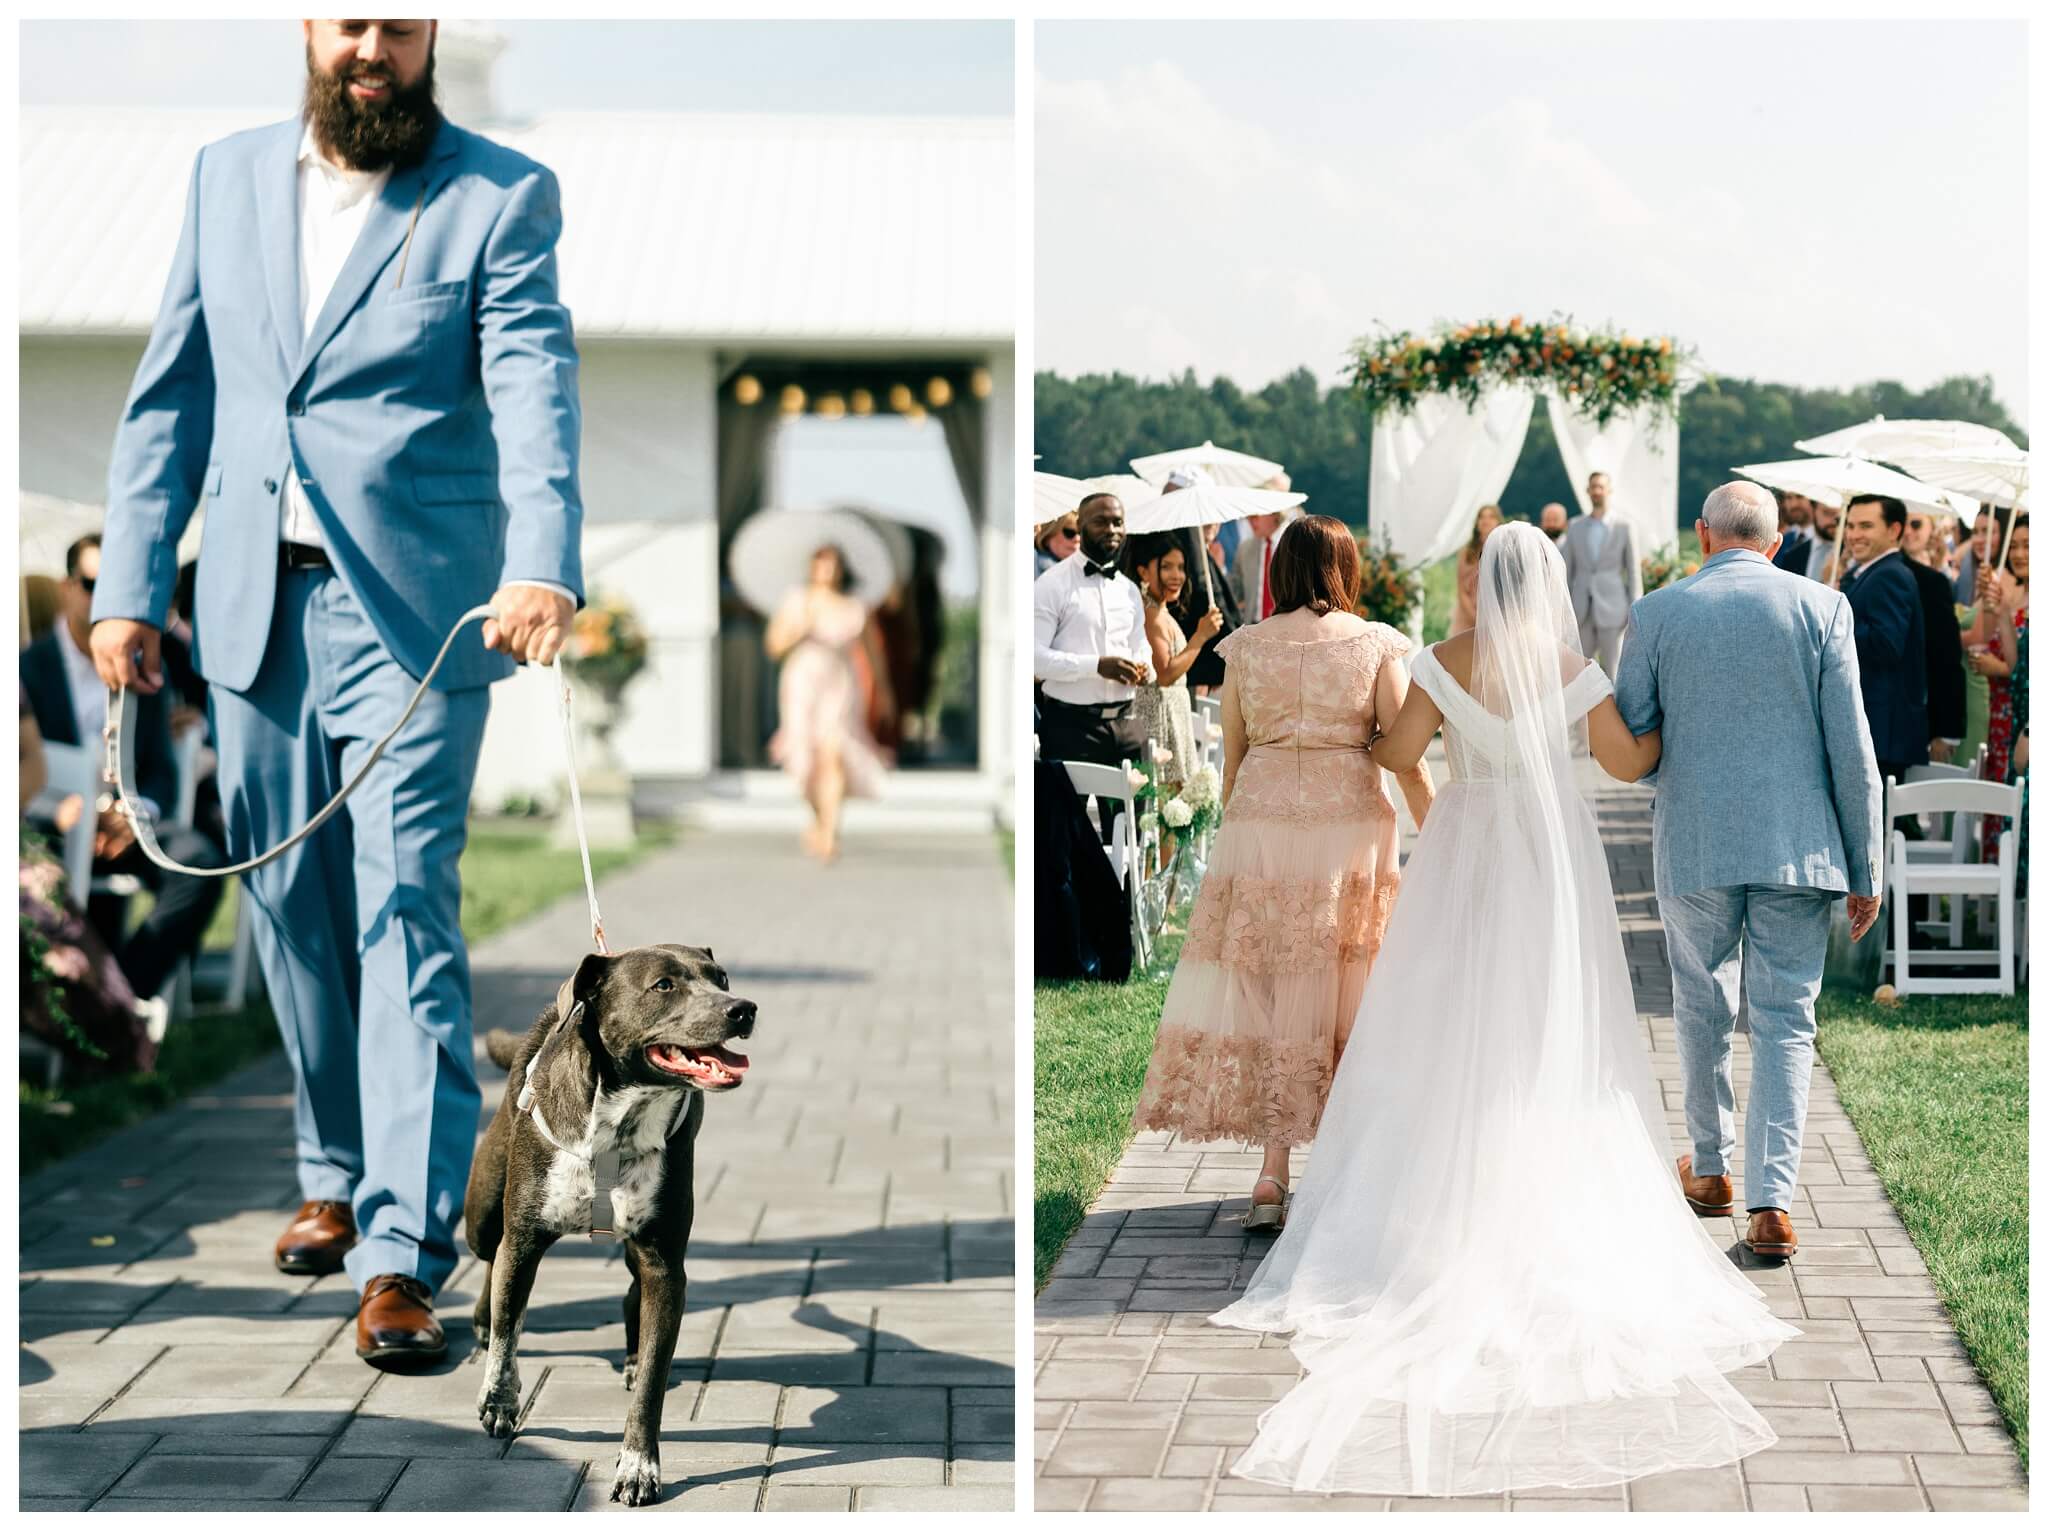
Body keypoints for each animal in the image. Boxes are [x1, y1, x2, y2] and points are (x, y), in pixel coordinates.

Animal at [462, 945, 753, 1506]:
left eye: (722, 978)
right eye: (663, 985)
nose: (743, 1008)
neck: (620, 1123)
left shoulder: (664, 1261)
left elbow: (653, 1381)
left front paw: (639, 1466)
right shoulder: (524, 1238)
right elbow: (510, 1327)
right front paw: (499, 1398)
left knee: (631, 1294)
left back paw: (633, 1354)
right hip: (483, 1211)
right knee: (491, 1262)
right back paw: (482, 1322)